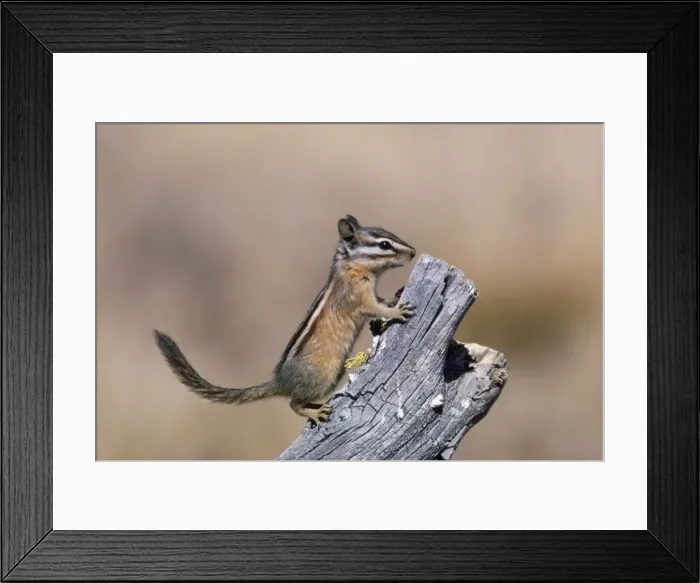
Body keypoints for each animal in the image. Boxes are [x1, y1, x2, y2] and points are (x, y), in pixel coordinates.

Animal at [153, 214, 416, 425]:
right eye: (384, 245)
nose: (413, 252)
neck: (351, 266)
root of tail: (281, 382)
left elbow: (380, 302)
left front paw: (394, 299)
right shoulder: (356, 295)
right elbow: (373, 308)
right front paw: (397, 311)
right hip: (323, 375)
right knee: (293, 404)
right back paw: (315, 413)